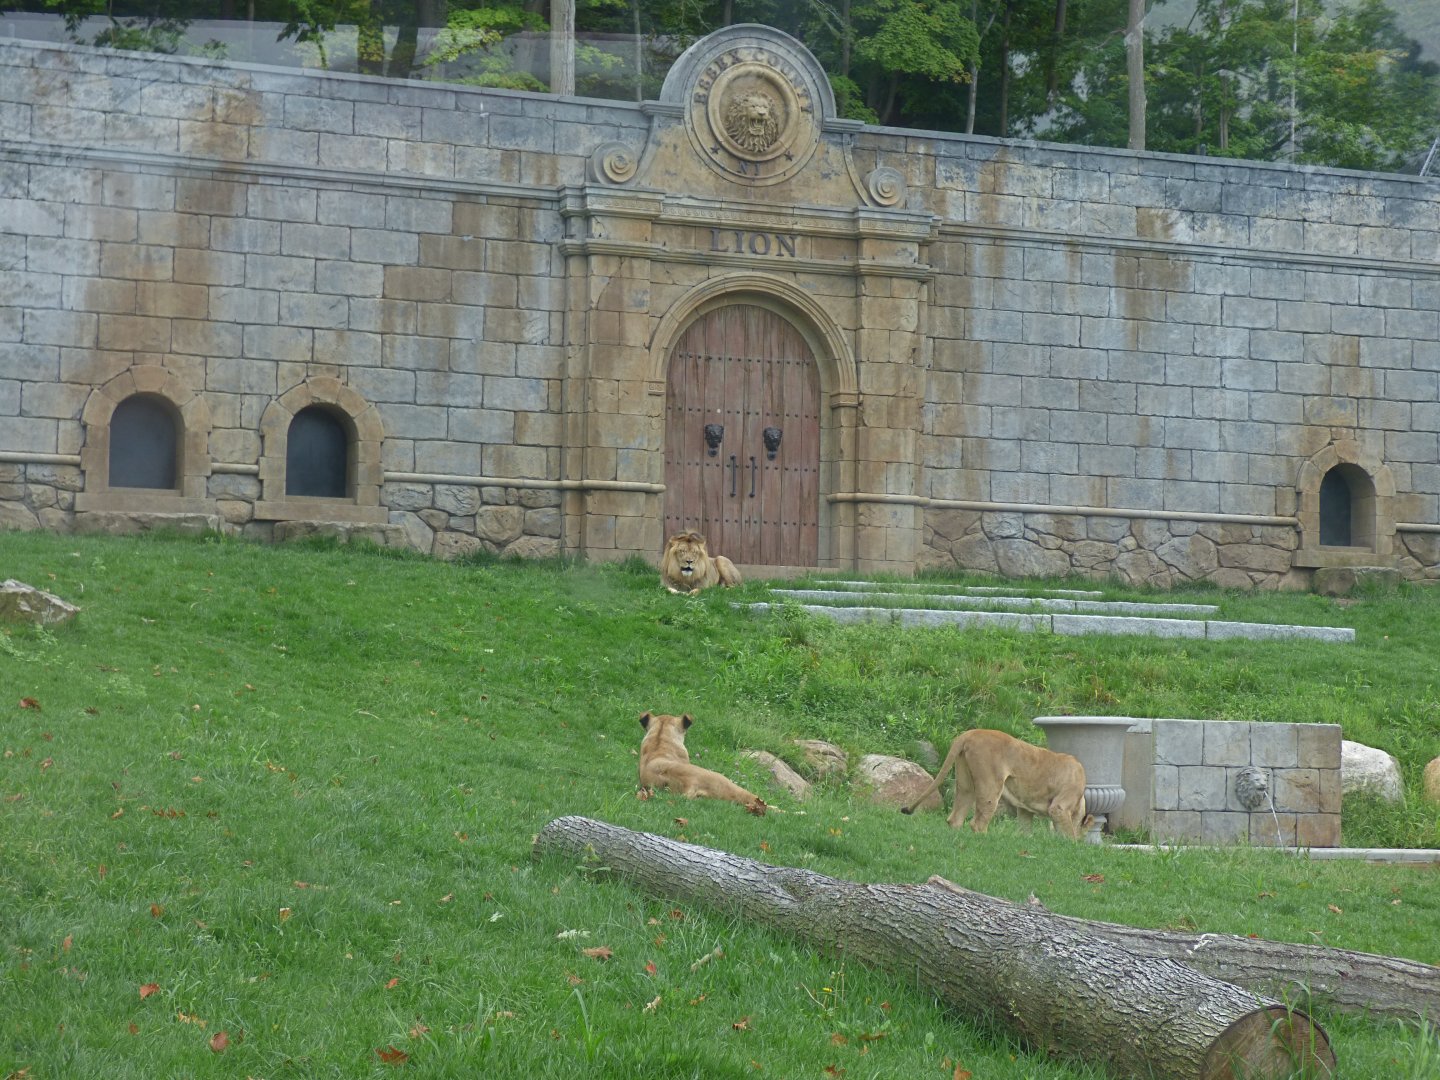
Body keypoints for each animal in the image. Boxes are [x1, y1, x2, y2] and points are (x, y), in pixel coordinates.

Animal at [900, 729, 1090, 841]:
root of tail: (969, 733)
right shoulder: (1059, 807)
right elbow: (1069, 835)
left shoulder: (1025, 810)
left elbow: (1025, 831)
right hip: (991, 786)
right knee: (978, 823)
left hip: (966, 785)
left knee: (955, 818)